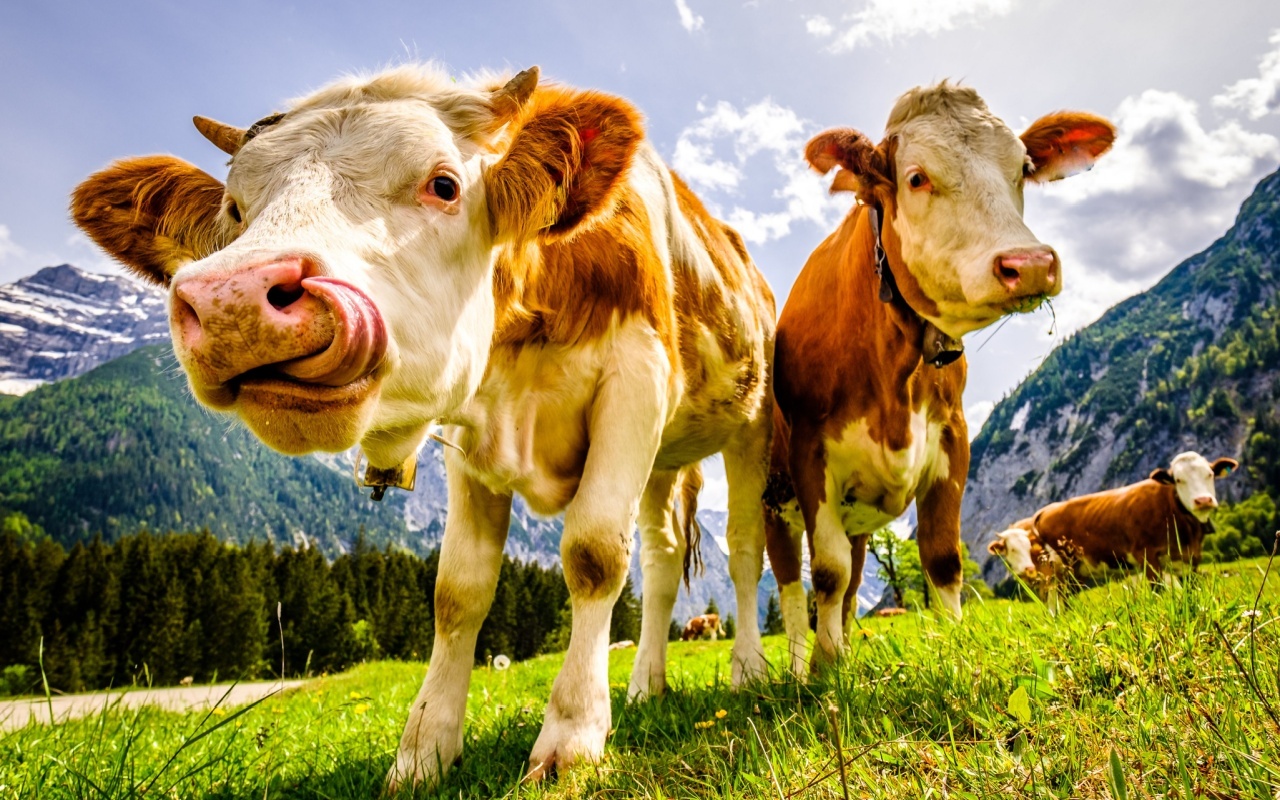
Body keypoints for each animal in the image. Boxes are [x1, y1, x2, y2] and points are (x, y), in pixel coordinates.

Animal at [70, 64, 776, 789]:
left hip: (751, 425)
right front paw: (424, 750)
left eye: (444, 185)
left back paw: (749, 670)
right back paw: (645, 685)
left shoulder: (637, 381)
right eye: (234, 211)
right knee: (661, 564)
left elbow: (593, 556)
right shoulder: (471, 435)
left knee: (746, 549)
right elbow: (457, 591)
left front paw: (570, 737)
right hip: (663, 464)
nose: (232, 300)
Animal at [740, 82, 1116, 676]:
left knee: (850, 585)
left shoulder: (952, 439)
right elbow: (825, 571)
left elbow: (940, 560)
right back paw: (803, 664)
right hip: (774, 504)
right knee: (792, 587)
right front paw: (824, 668)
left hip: (857, 518)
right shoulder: (809, 453)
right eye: (916, 177)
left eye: (1023, 168)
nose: (1030, 263)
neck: (894, 364)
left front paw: (955, 650)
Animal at [988, 451, 1239, 610]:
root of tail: (1045, 510)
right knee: (1058, 602)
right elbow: (1158, 591)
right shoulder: (1146, 556)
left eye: (1210, 474)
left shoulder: (1191, 560)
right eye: (1178, 479)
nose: (1203, 500)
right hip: (1062, 571)